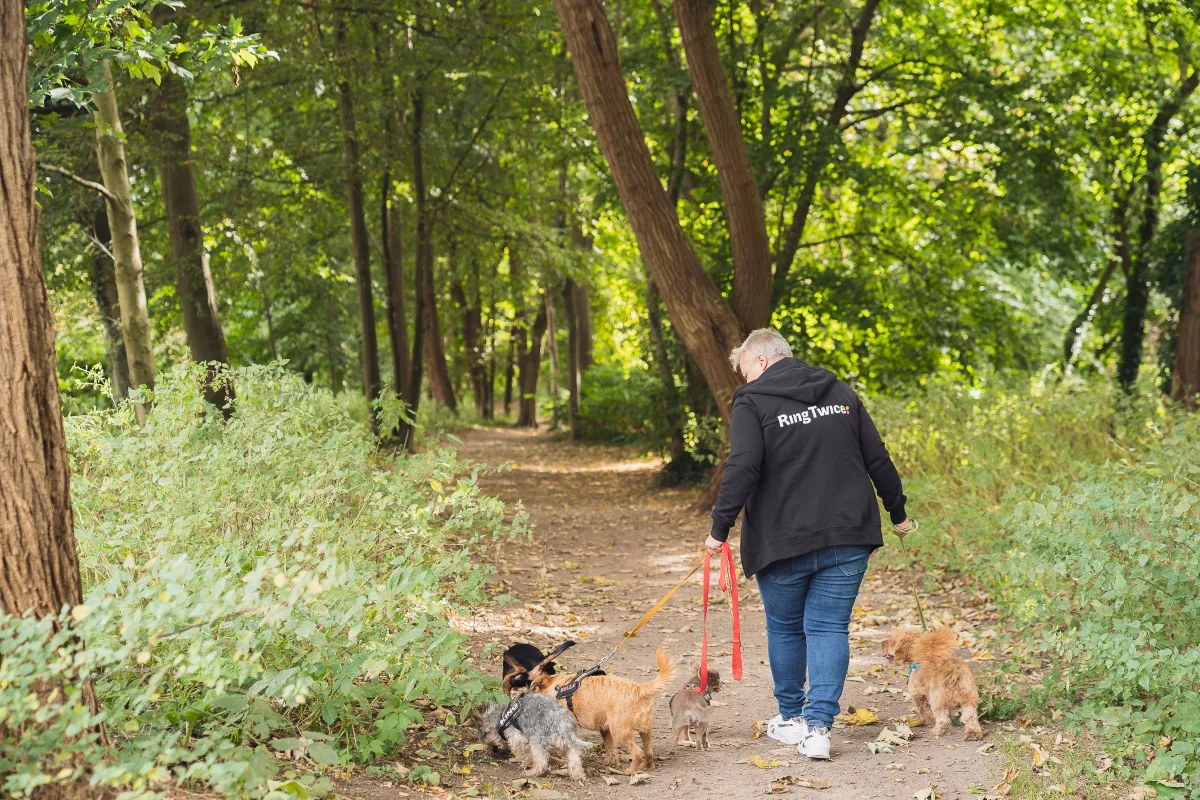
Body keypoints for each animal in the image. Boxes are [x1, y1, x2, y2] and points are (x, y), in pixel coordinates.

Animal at [525, 652, 676, 777]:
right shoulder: (605, 730)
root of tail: (639, 689)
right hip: (645, 731)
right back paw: (647, 766)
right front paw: (610, 762)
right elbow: (610, 748)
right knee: (648, 752)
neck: (558, 688)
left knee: (638, 752)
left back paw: (630, 771)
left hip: (620, 733)